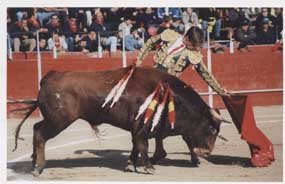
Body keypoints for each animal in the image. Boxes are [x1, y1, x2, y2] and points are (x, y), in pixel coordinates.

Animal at [12, 66, 229, 175]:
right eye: (211, 129)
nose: (206, 152)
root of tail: (50, 76)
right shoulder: (142, 127)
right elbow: (142, 145)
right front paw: (148, 167)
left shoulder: (137, 128)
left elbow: (135, 146)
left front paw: (131, 165)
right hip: (58, 121)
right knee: (40, 134)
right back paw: (38, 168)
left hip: (53, 119)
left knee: (36, 128)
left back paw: (34, 162)